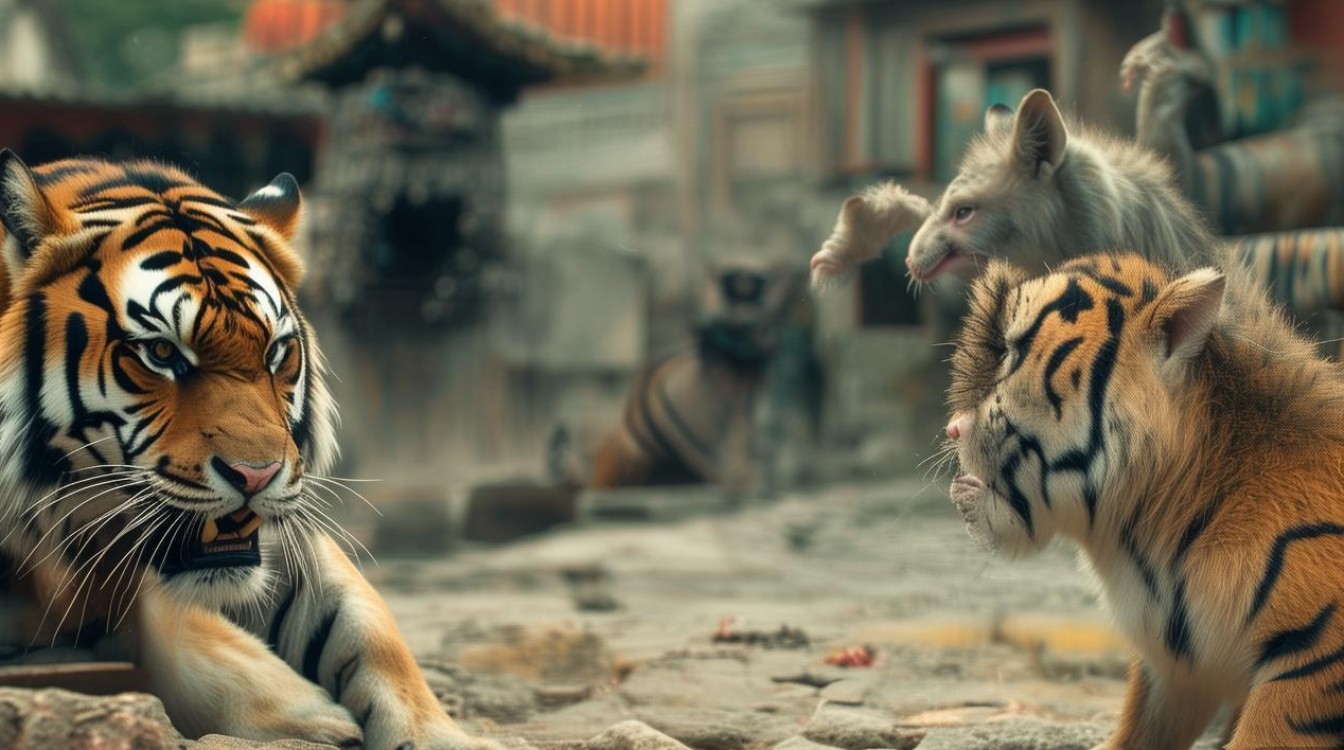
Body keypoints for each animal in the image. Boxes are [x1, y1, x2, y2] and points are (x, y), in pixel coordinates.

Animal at [0, 153, 485, 750]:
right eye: (162, 353)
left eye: (276, 351)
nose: (256, 476)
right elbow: (179, 624)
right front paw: (318, 717)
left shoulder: (290, 547)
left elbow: (374, 633)